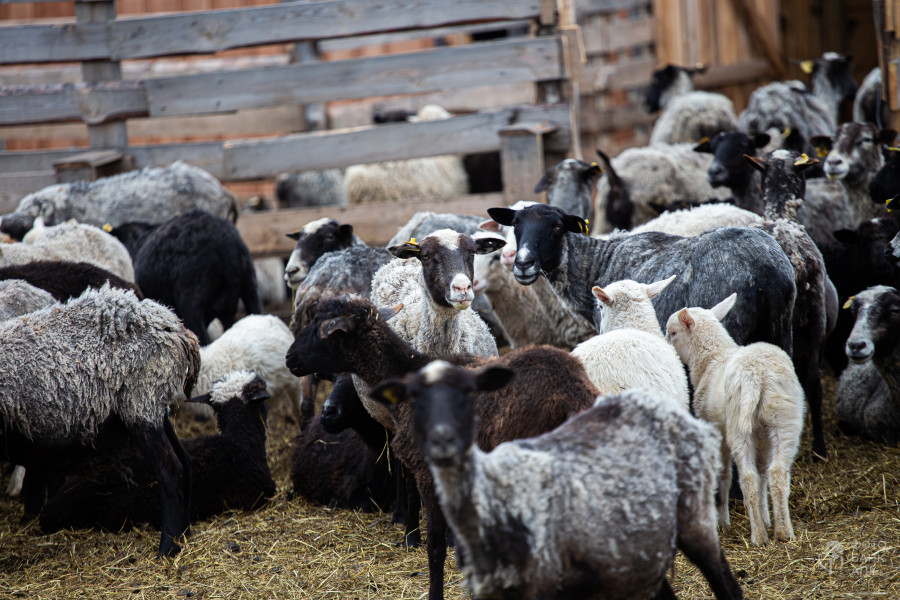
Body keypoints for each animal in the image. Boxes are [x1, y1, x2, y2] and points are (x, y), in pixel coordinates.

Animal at [0, 285, 199, 557]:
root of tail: (176, 328)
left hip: (142, 402)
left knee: (170, 470)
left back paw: (167, 546)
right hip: (153, 406)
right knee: (186, 461)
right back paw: (184, 534)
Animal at [666, 294, 805, 546]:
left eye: (672, 332)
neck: (712, 359)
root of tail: (757, 375)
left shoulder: (715, 429)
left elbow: (724, 476)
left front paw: (723, 521)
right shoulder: (761, 436)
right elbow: (762, 474)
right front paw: (766, 517)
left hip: (738, 424)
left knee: (747, 478)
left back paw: (758, 536)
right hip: (785, 419)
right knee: (777, 473)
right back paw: (783, 532)